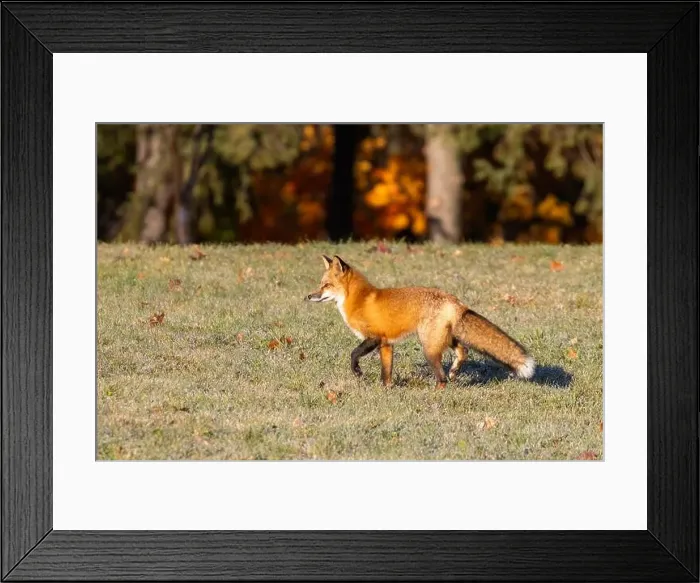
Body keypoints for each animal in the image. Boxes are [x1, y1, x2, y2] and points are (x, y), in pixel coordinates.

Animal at [305, 254, 535, 389]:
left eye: (326, 285)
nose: (308, 296)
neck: (359, 300)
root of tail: (454, 300)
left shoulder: (374, 337)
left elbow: (353, 354)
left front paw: (357, 372)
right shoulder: (386, 344)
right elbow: (386, 373)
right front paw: (387, 391)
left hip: (429, 348)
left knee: (442, 377)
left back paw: (438, 392)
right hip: (444, 337)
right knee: (463, 351)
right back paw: (454, 372)